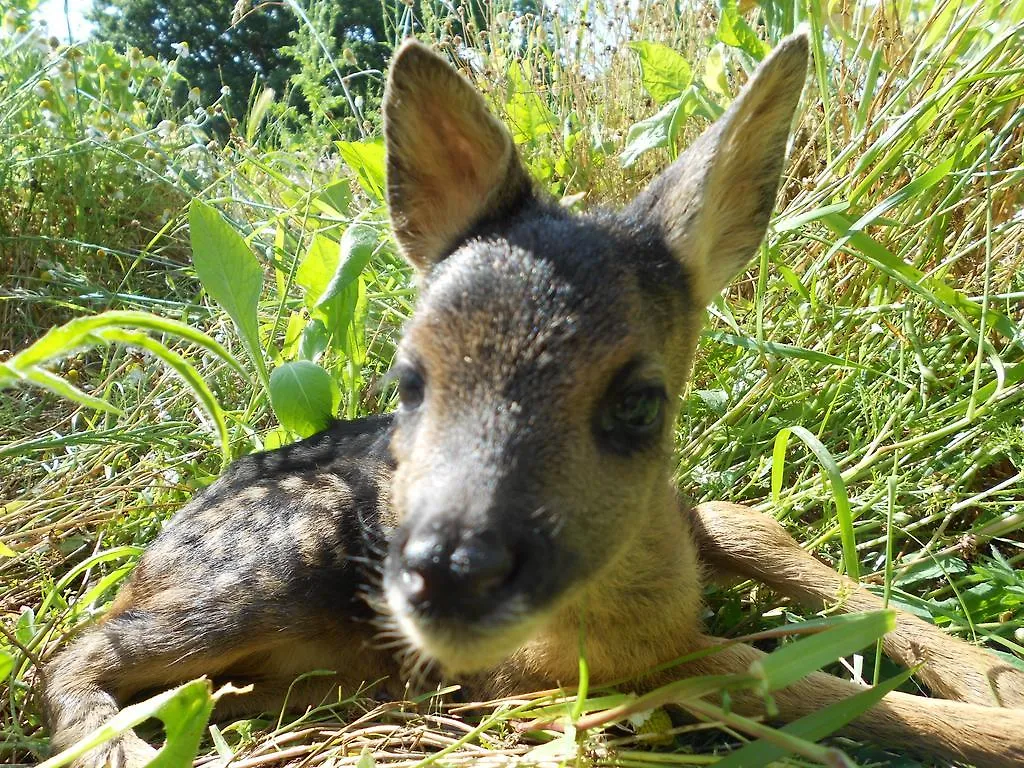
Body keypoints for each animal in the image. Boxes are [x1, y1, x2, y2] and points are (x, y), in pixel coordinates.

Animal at [39, 31, 1024, 768]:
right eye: (409, 381)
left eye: (639, 403)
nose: (447, 576)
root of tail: (153, 555)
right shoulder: (553, 670)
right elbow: (765, 668)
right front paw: (995, 723)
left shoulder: (677, 529)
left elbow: (757, 528)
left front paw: (992, 674)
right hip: (274, 556)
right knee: (79, 644)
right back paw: (115, 745)